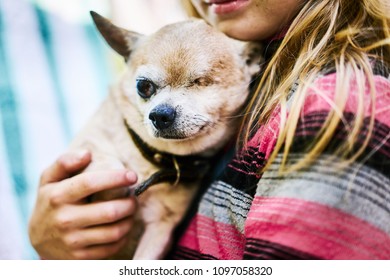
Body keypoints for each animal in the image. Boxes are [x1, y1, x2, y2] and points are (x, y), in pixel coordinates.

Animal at [69, 12, 262, 260]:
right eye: (143, 87)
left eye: (201, 82)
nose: (160, 114)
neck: (154, 158)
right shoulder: (82, 148)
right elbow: (110, 165)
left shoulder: (160, 229)